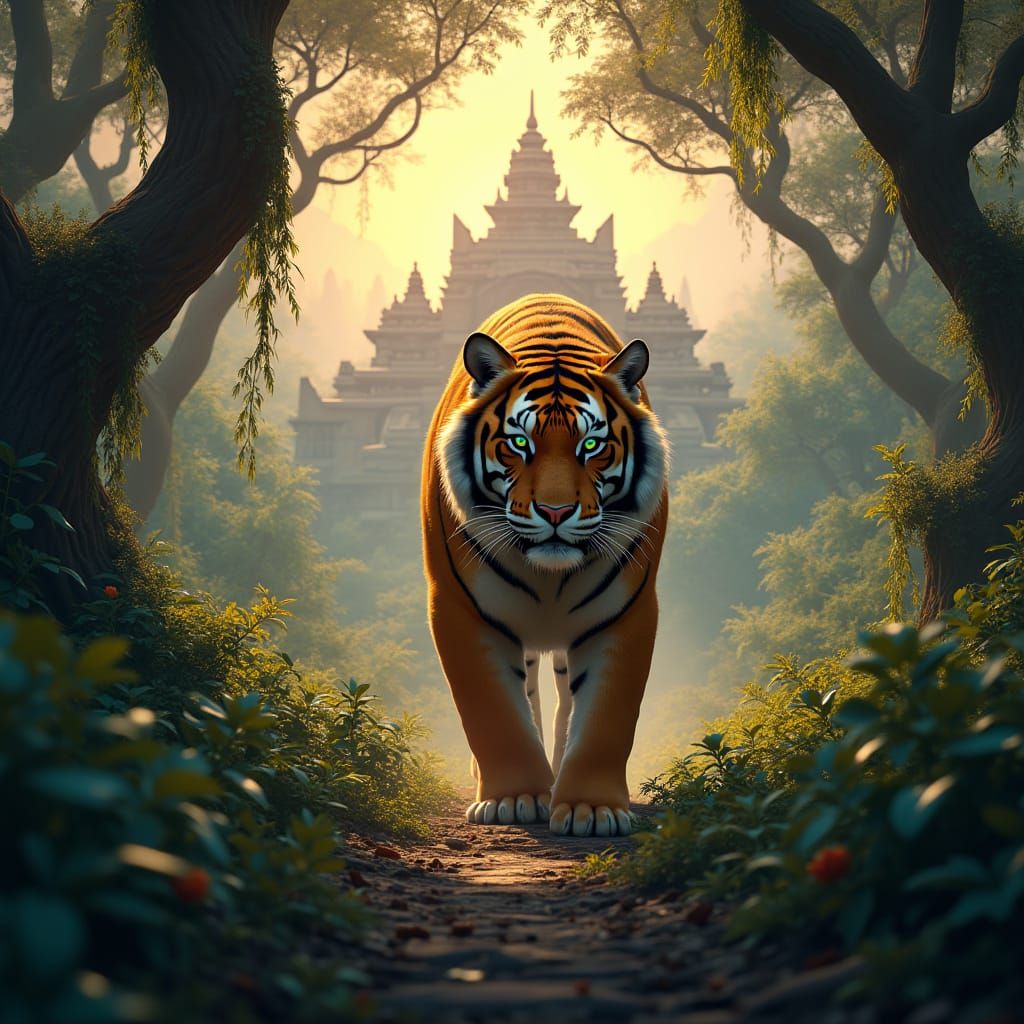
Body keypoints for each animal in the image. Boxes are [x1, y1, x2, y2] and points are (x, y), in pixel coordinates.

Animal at [421, 293, 669, 837]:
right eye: (519, 443)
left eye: (591, 445)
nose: (556, 512)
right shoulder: (459, 609)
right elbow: (492, 712)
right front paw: (512, 799)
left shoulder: (626, 613)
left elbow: (606, 718)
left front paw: (591, 810)